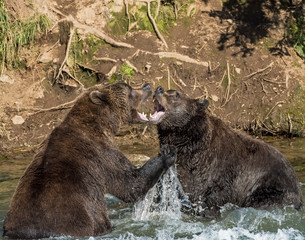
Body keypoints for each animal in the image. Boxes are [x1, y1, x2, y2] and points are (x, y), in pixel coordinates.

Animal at [2, 82, 176, 238]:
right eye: (129, 89)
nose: (147, 85)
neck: (100, 124)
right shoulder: (101, 154)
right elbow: (130, 184)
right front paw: (167, 155)